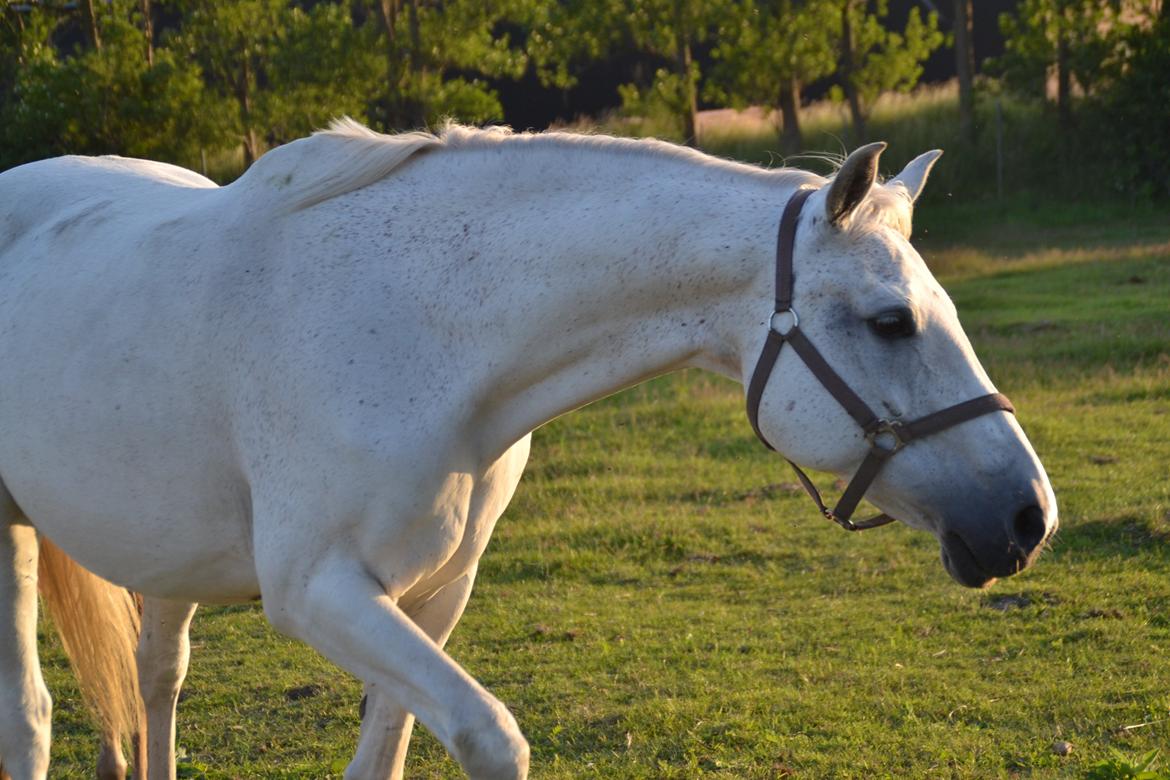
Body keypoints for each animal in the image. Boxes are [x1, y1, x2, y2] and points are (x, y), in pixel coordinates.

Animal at [0, 122, 1057, 780]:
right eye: (891, 322)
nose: (1028, 517)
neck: (424, 329)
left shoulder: (432, 597)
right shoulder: (318, 593)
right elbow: (493, 741)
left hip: (165, 555)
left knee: (155, 680)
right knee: (33, 721)